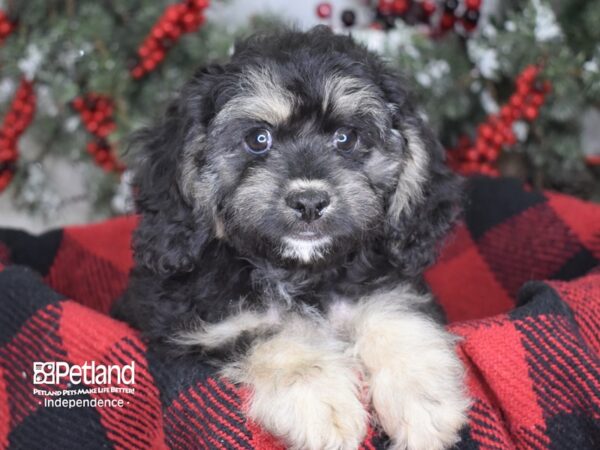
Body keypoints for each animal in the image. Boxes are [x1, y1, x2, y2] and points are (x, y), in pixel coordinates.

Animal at [112, 25, 468, 450]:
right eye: (258, 138)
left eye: (346, 138)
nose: (310, 201)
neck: (300, 274)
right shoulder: (198, 326)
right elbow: (273, 332)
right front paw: (323, 403)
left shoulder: (385, 284)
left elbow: (392, 310)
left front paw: (423, 400)